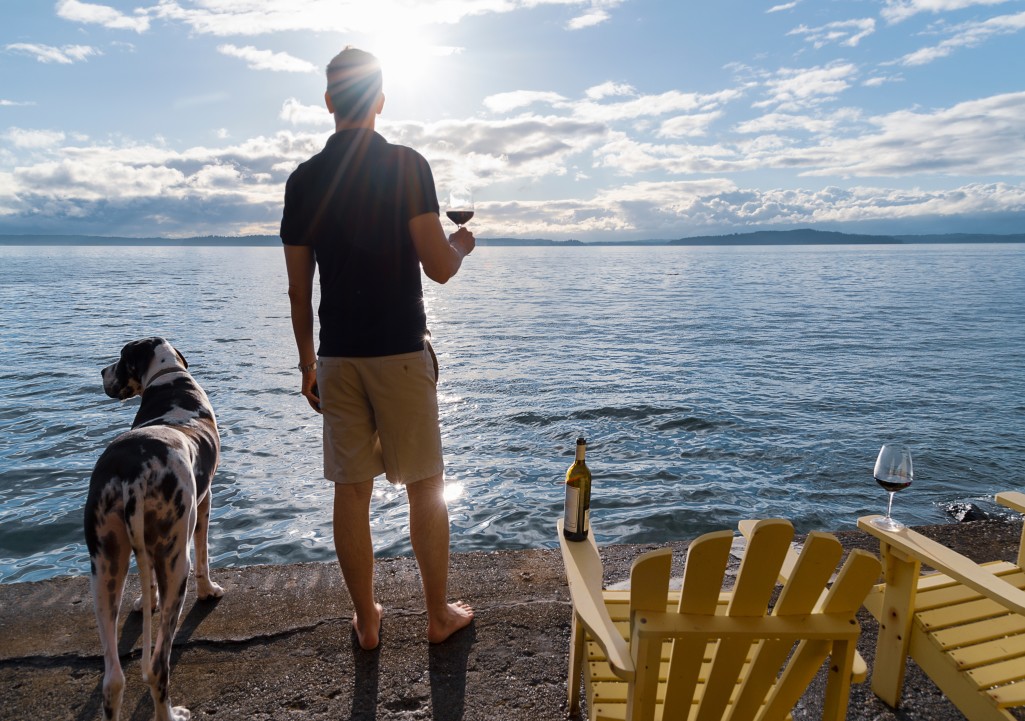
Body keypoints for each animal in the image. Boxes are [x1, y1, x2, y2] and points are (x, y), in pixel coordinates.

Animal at [86, 338, 226, 721]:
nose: (101, 372)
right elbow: (204, 555)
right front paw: (209, 591)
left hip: (104, 570)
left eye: (120, 359)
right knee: (159, 666)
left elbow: (144, 575)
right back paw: (173, 713)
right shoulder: (205, 501)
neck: (170, 380)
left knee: (113, 680)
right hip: (176, 563)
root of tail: (133, 475)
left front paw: (143, 602)